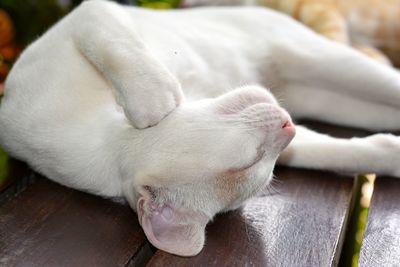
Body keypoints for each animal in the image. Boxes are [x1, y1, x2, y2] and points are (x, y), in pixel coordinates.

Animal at [0, 0, 400, 258]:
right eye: (257, 162)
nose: (287, 125)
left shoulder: (89, 14)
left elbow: (115, 43)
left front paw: (155, 101)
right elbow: (328, 151)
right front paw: (389, 154)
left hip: (323, 59)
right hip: (325, 90)